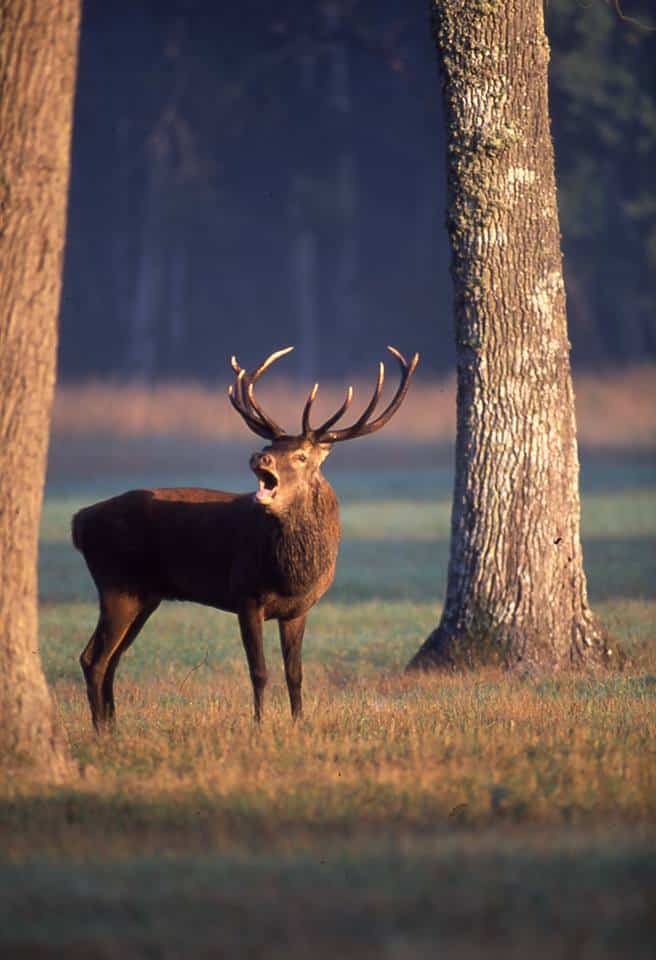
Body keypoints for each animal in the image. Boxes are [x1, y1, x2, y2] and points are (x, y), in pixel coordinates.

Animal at [73, 344, 420, 728]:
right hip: (116, 585)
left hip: (144, 596)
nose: (259, 457)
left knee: (112, 658)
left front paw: (299, 721)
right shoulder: (246, 596)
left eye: (300, 455)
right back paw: (101, 729)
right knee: (93, 658)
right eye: (268, 445)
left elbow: (295, 673)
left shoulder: (298, 609)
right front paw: (260, 723)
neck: (292, 575)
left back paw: (111, 725)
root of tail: (79, 522)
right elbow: (259, 671)